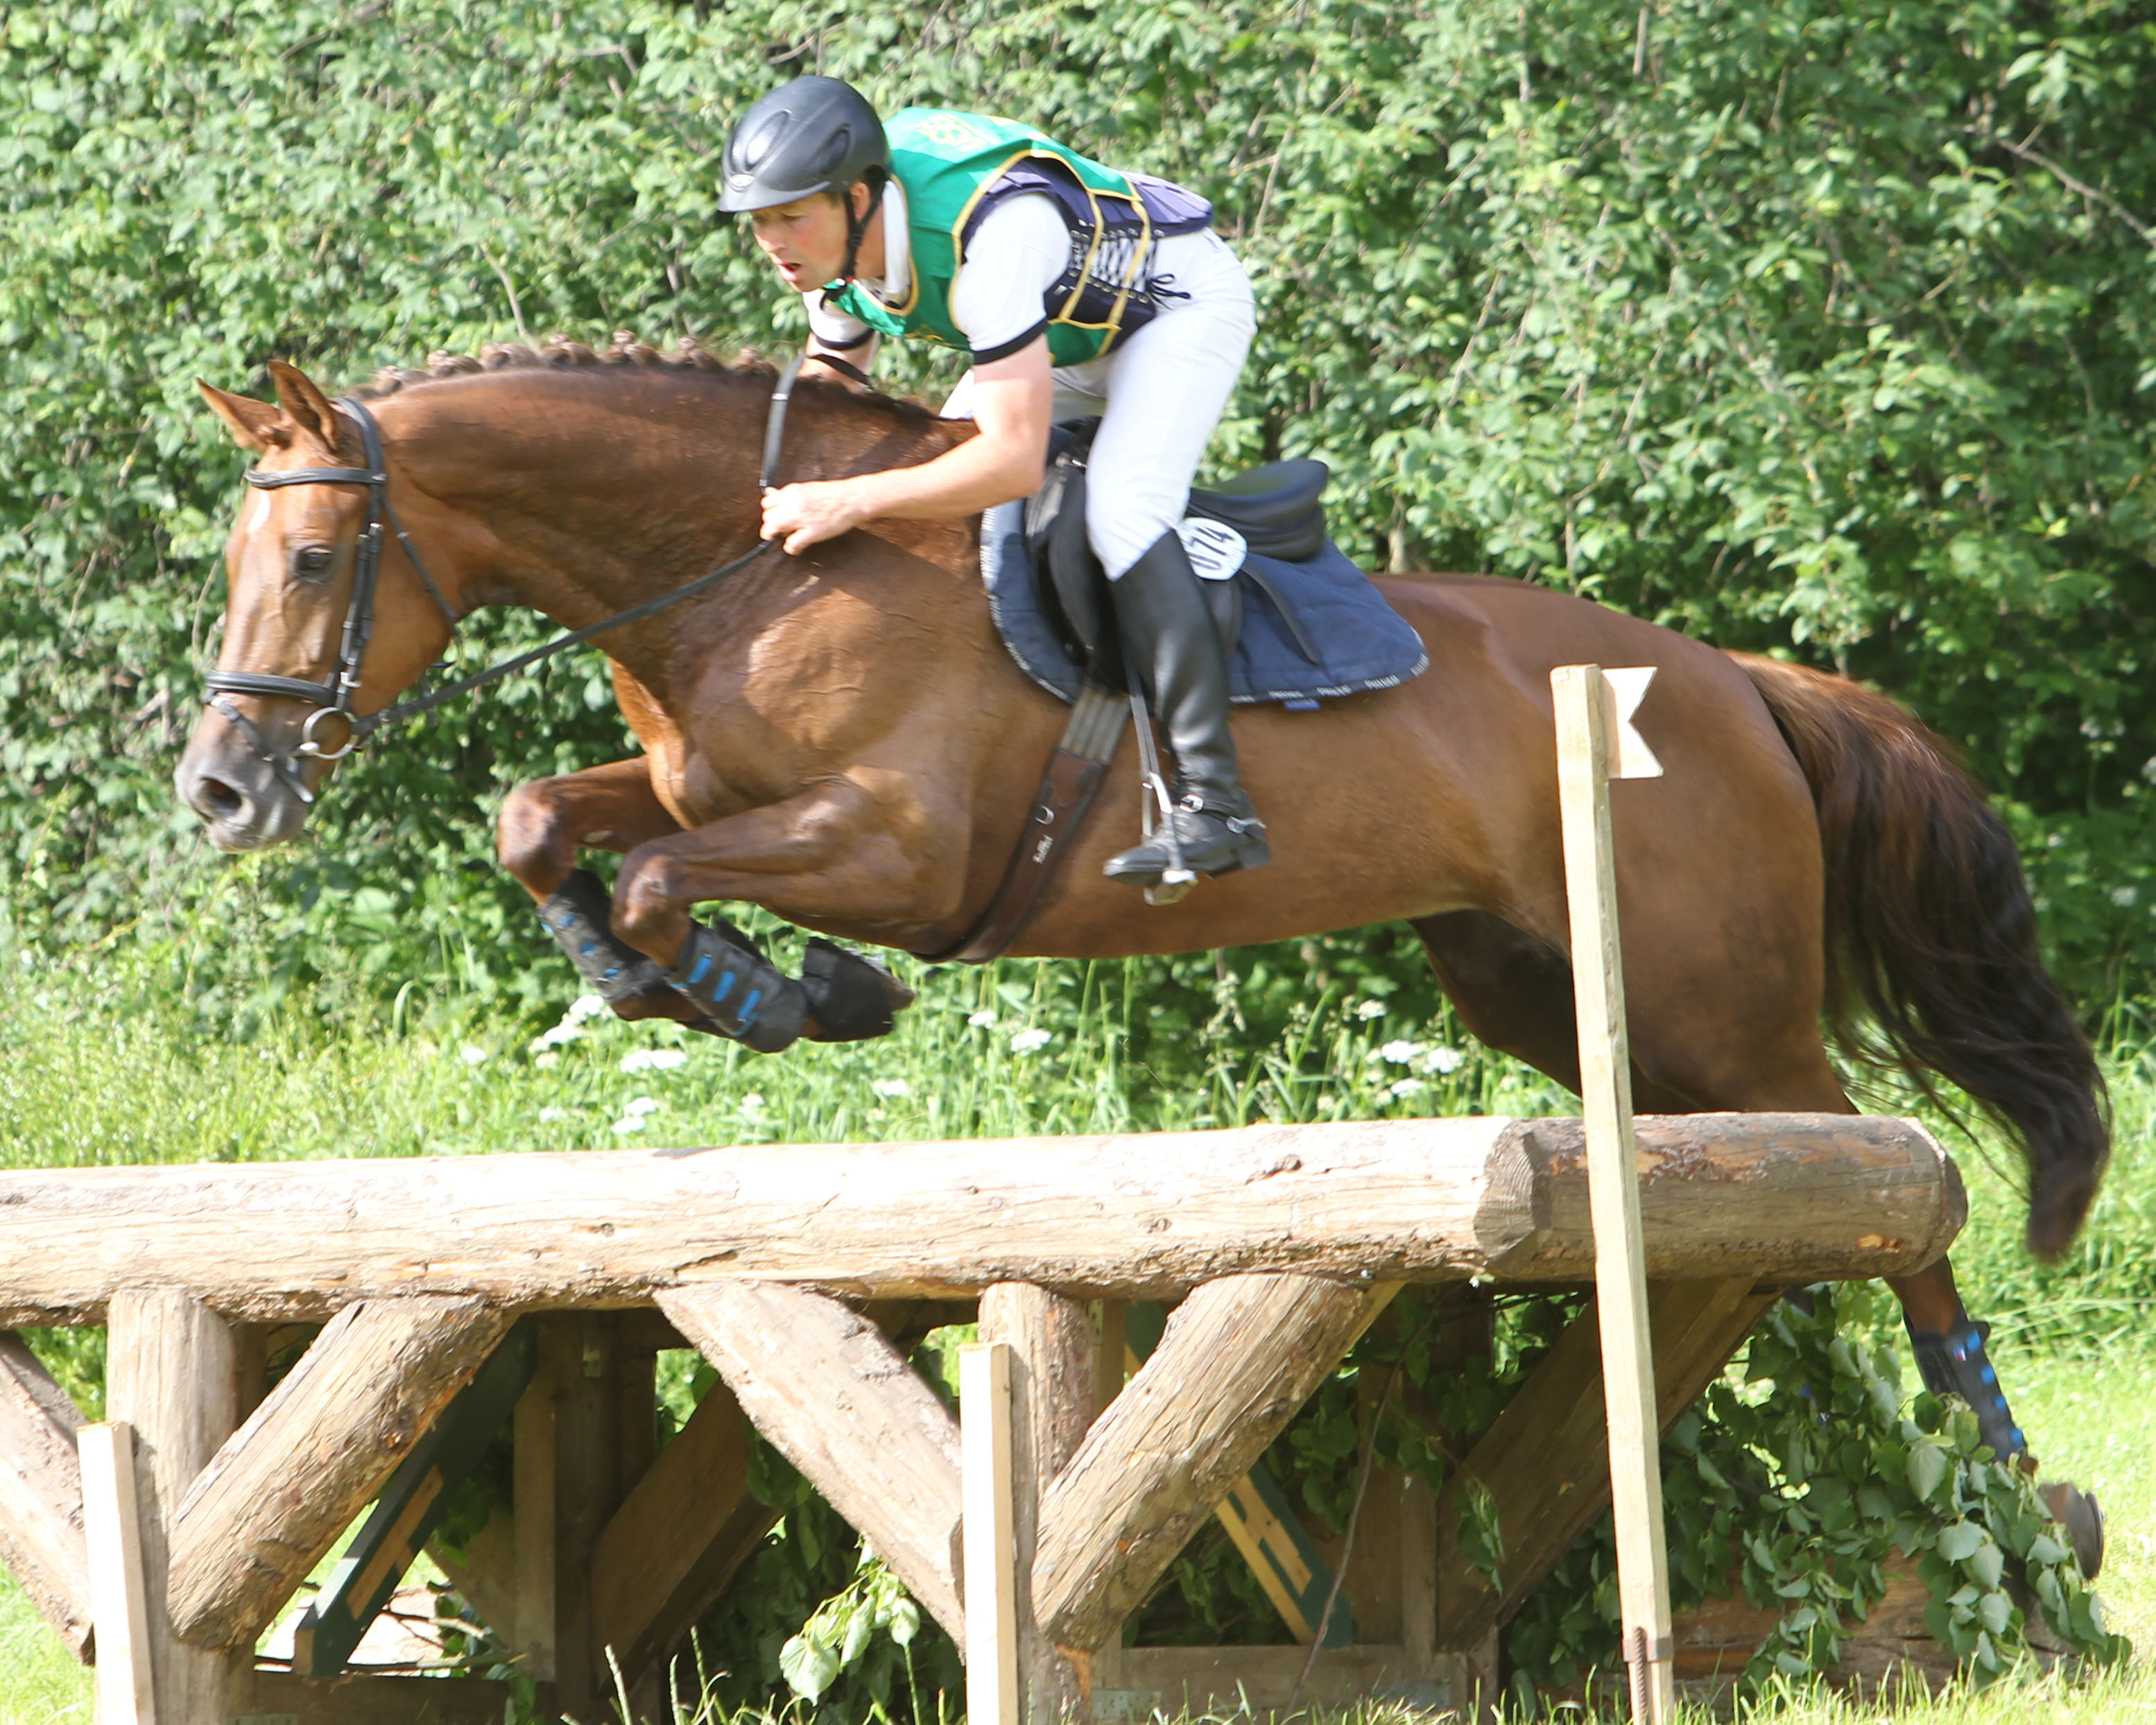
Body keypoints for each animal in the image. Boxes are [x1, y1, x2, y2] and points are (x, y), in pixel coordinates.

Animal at [181, 336, 2104, 1561]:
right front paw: (661, 976)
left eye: (315, 554)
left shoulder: (896, 847)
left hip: (1719, 989)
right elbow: (547, 826)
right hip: (1544, 990)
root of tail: (1740, 683)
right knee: (1776, 1169)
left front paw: (782, 992)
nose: (221, 788)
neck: (755, 567)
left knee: (1894, 1175)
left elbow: (667, 886)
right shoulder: (694, 786)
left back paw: (2010, 1485)